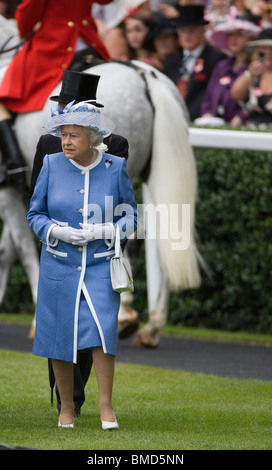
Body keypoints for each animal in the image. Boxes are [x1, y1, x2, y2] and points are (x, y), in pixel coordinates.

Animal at [0, 18, 202, 346]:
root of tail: (146, 76)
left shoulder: (7, 192)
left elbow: (26, 253)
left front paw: (37, 315)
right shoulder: (24, 191)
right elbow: (10, 251)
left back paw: (126, 317)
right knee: (156, 233)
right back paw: (148, 325)